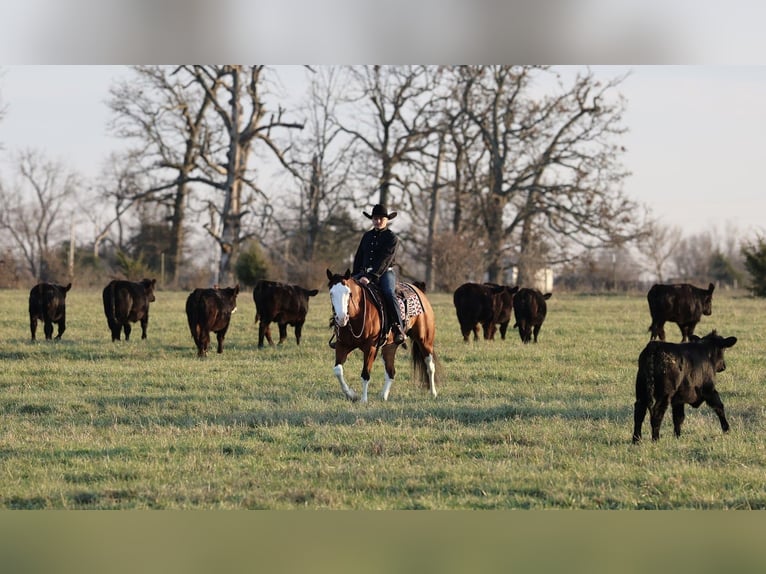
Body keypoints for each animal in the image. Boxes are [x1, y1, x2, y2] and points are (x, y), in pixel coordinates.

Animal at [326, 268, 439, 402]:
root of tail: (418, 289)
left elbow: (365, 373)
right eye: (331, 293)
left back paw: (433, 393)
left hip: (425, 340)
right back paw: (383, 395)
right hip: (390, 346)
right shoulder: (342, 346)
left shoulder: (370, 348)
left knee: (430, 366)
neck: (357, 315)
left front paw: (363, 400)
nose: (342, 318)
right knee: (391, 371)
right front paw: (351, 395)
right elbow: (338, 370)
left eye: (349, 293)